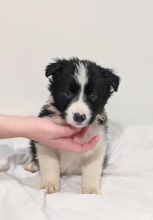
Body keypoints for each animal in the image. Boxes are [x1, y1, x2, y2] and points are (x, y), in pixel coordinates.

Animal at [24, 57, 119, 193]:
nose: (79, 116)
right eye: (68, 92)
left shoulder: (97, 144)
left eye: (93, 95)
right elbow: (49, 163)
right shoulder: (45, 142)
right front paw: (49, 184)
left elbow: (92, 169)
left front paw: (90, 190)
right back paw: (33, 164)